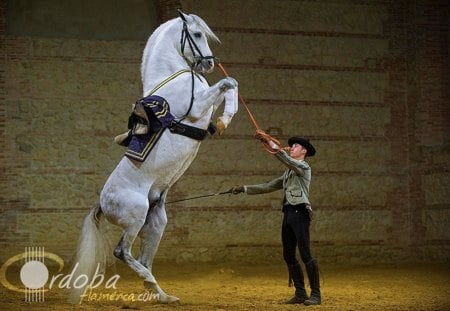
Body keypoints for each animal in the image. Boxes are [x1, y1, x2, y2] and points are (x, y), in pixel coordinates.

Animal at [68, 11, 237, 304]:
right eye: (197, 34)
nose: (207, 64)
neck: (173, 76)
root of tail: (102, 203)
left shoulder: (207, 106)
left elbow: (229, 87)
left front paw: (225, 120)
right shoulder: (198, 108)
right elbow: (228, 83)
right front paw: (226, 119)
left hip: (155, 222)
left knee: (144, 259)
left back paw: (161, 294)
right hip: (135, 217)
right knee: (122, 252)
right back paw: (151, 284)